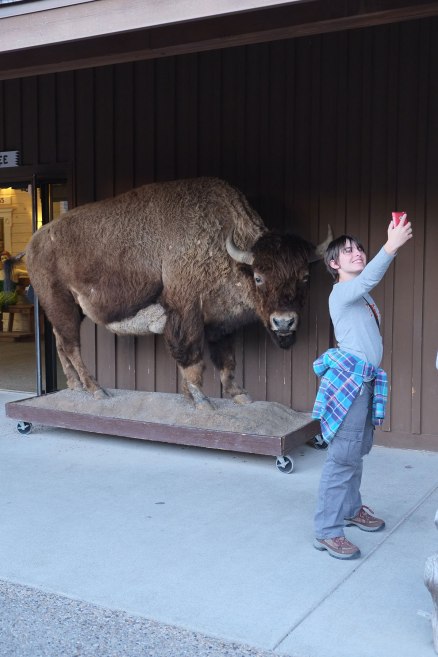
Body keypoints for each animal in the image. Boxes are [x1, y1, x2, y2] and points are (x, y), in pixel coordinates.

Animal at [26, 177, 331, 409]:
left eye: (305, 277)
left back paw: (76, 387)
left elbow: (227, 361)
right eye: (258, 277)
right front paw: (203, 402)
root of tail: (35, 240)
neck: (226, 247)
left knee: (60, 342)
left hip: (68, 309)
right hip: (60, 303)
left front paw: (239, 396)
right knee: (71, 345)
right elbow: (193, 358)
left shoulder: (220, 322)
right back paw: (97, 390)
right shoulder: (186, 312)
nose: (284, 322)